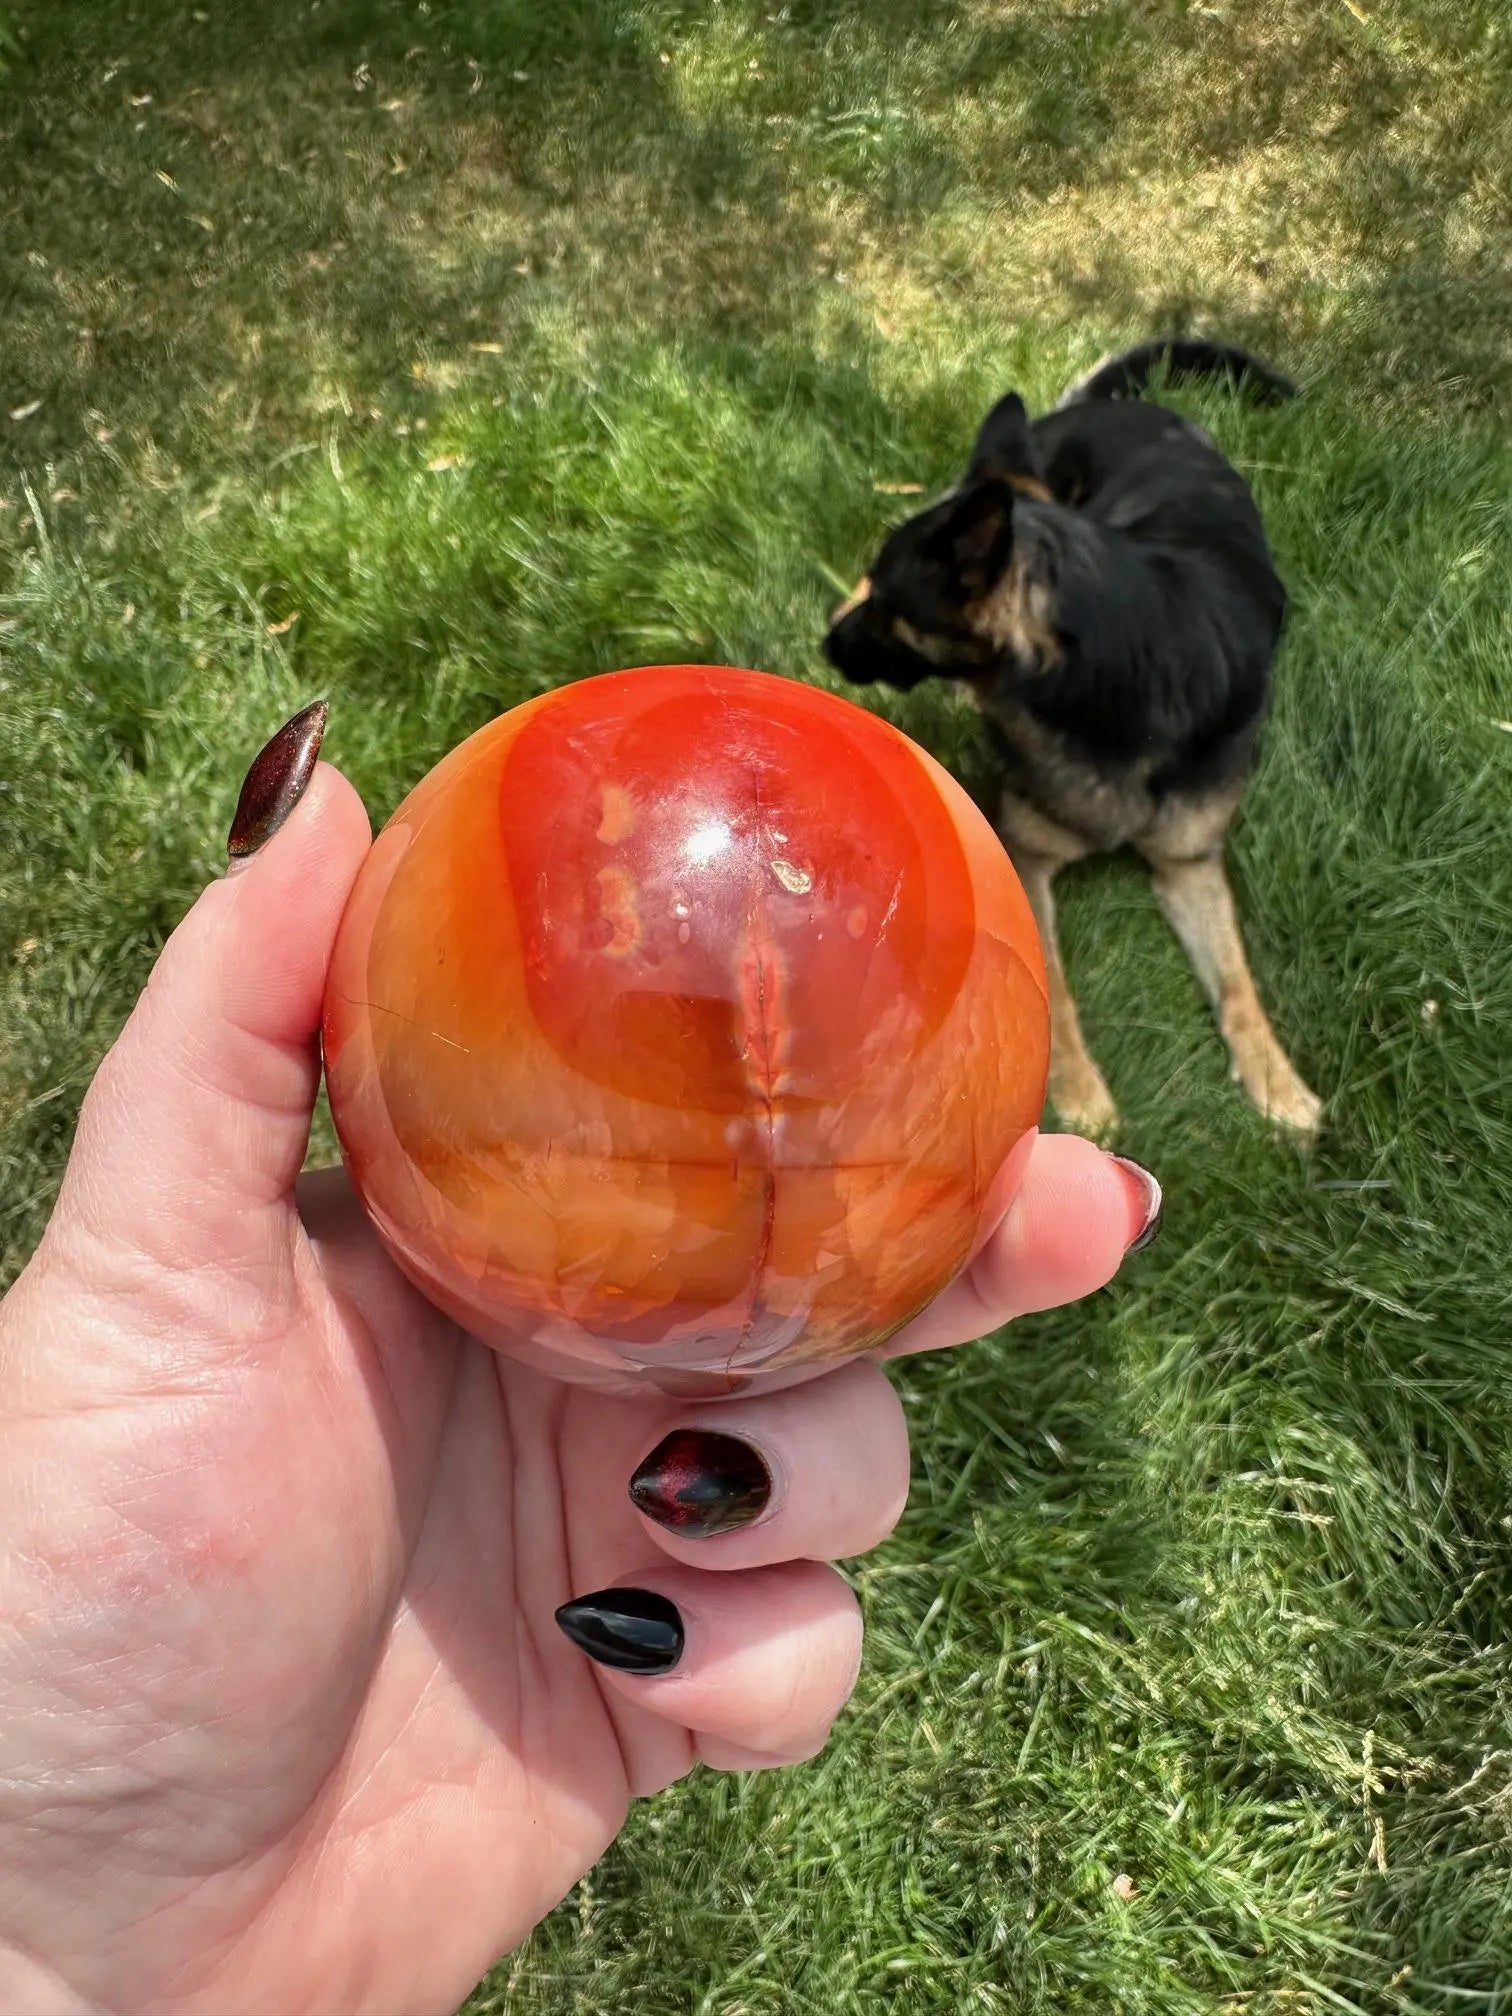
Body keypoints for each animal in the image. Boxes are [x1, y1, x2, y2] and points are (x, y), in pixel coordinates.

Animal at [830, 338, 1322, 1145]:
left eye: (893, 611)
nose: (827, 643)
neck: (1121, 661)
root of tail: (1118, 407)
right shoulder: (1025, 854)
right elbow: (1054, 986)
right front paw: (1079, 1089)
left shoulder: (1190, 866)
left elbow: (1238, 982)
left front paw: (1277, 1078)